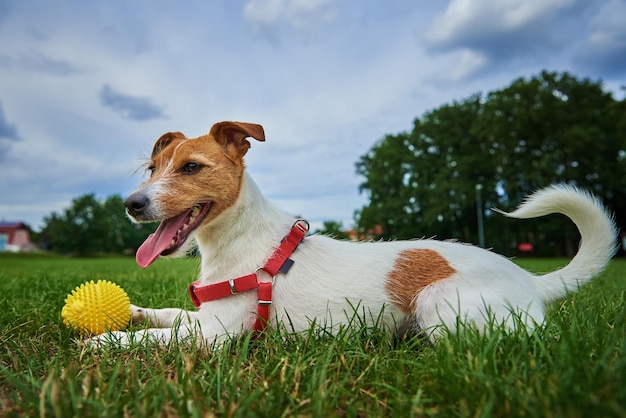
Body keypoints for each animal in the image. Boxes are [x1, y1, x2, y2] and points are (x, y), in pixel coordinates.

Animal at [90, 121, 616, 346]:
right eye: (153, 168)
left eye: (192, 168)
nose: (131, 204)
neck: (241, 243)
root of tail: (531, 281)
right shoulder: (203, 319)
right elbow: (169, 316)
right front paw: (134, 312)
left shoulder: (214, 337)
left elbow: (151, 340)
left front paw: (101, 343)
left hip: (439, 306)